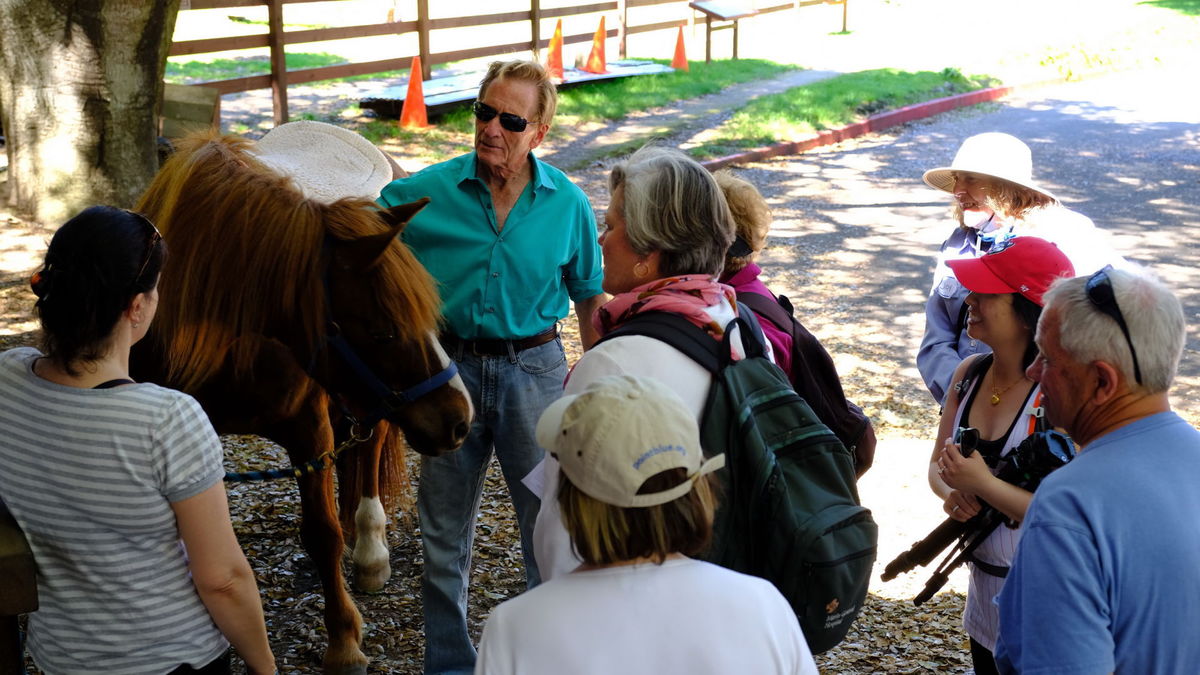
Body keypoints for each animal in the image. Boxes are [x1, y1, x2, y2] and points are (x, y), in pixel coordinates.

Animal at [129, 128, 470, 667]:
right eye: (384, 332)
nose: (460, 419)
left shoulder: (309, 429)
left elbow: (322, 533)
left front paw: (344, 642)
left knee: (370, 450)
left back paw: (369, 549)